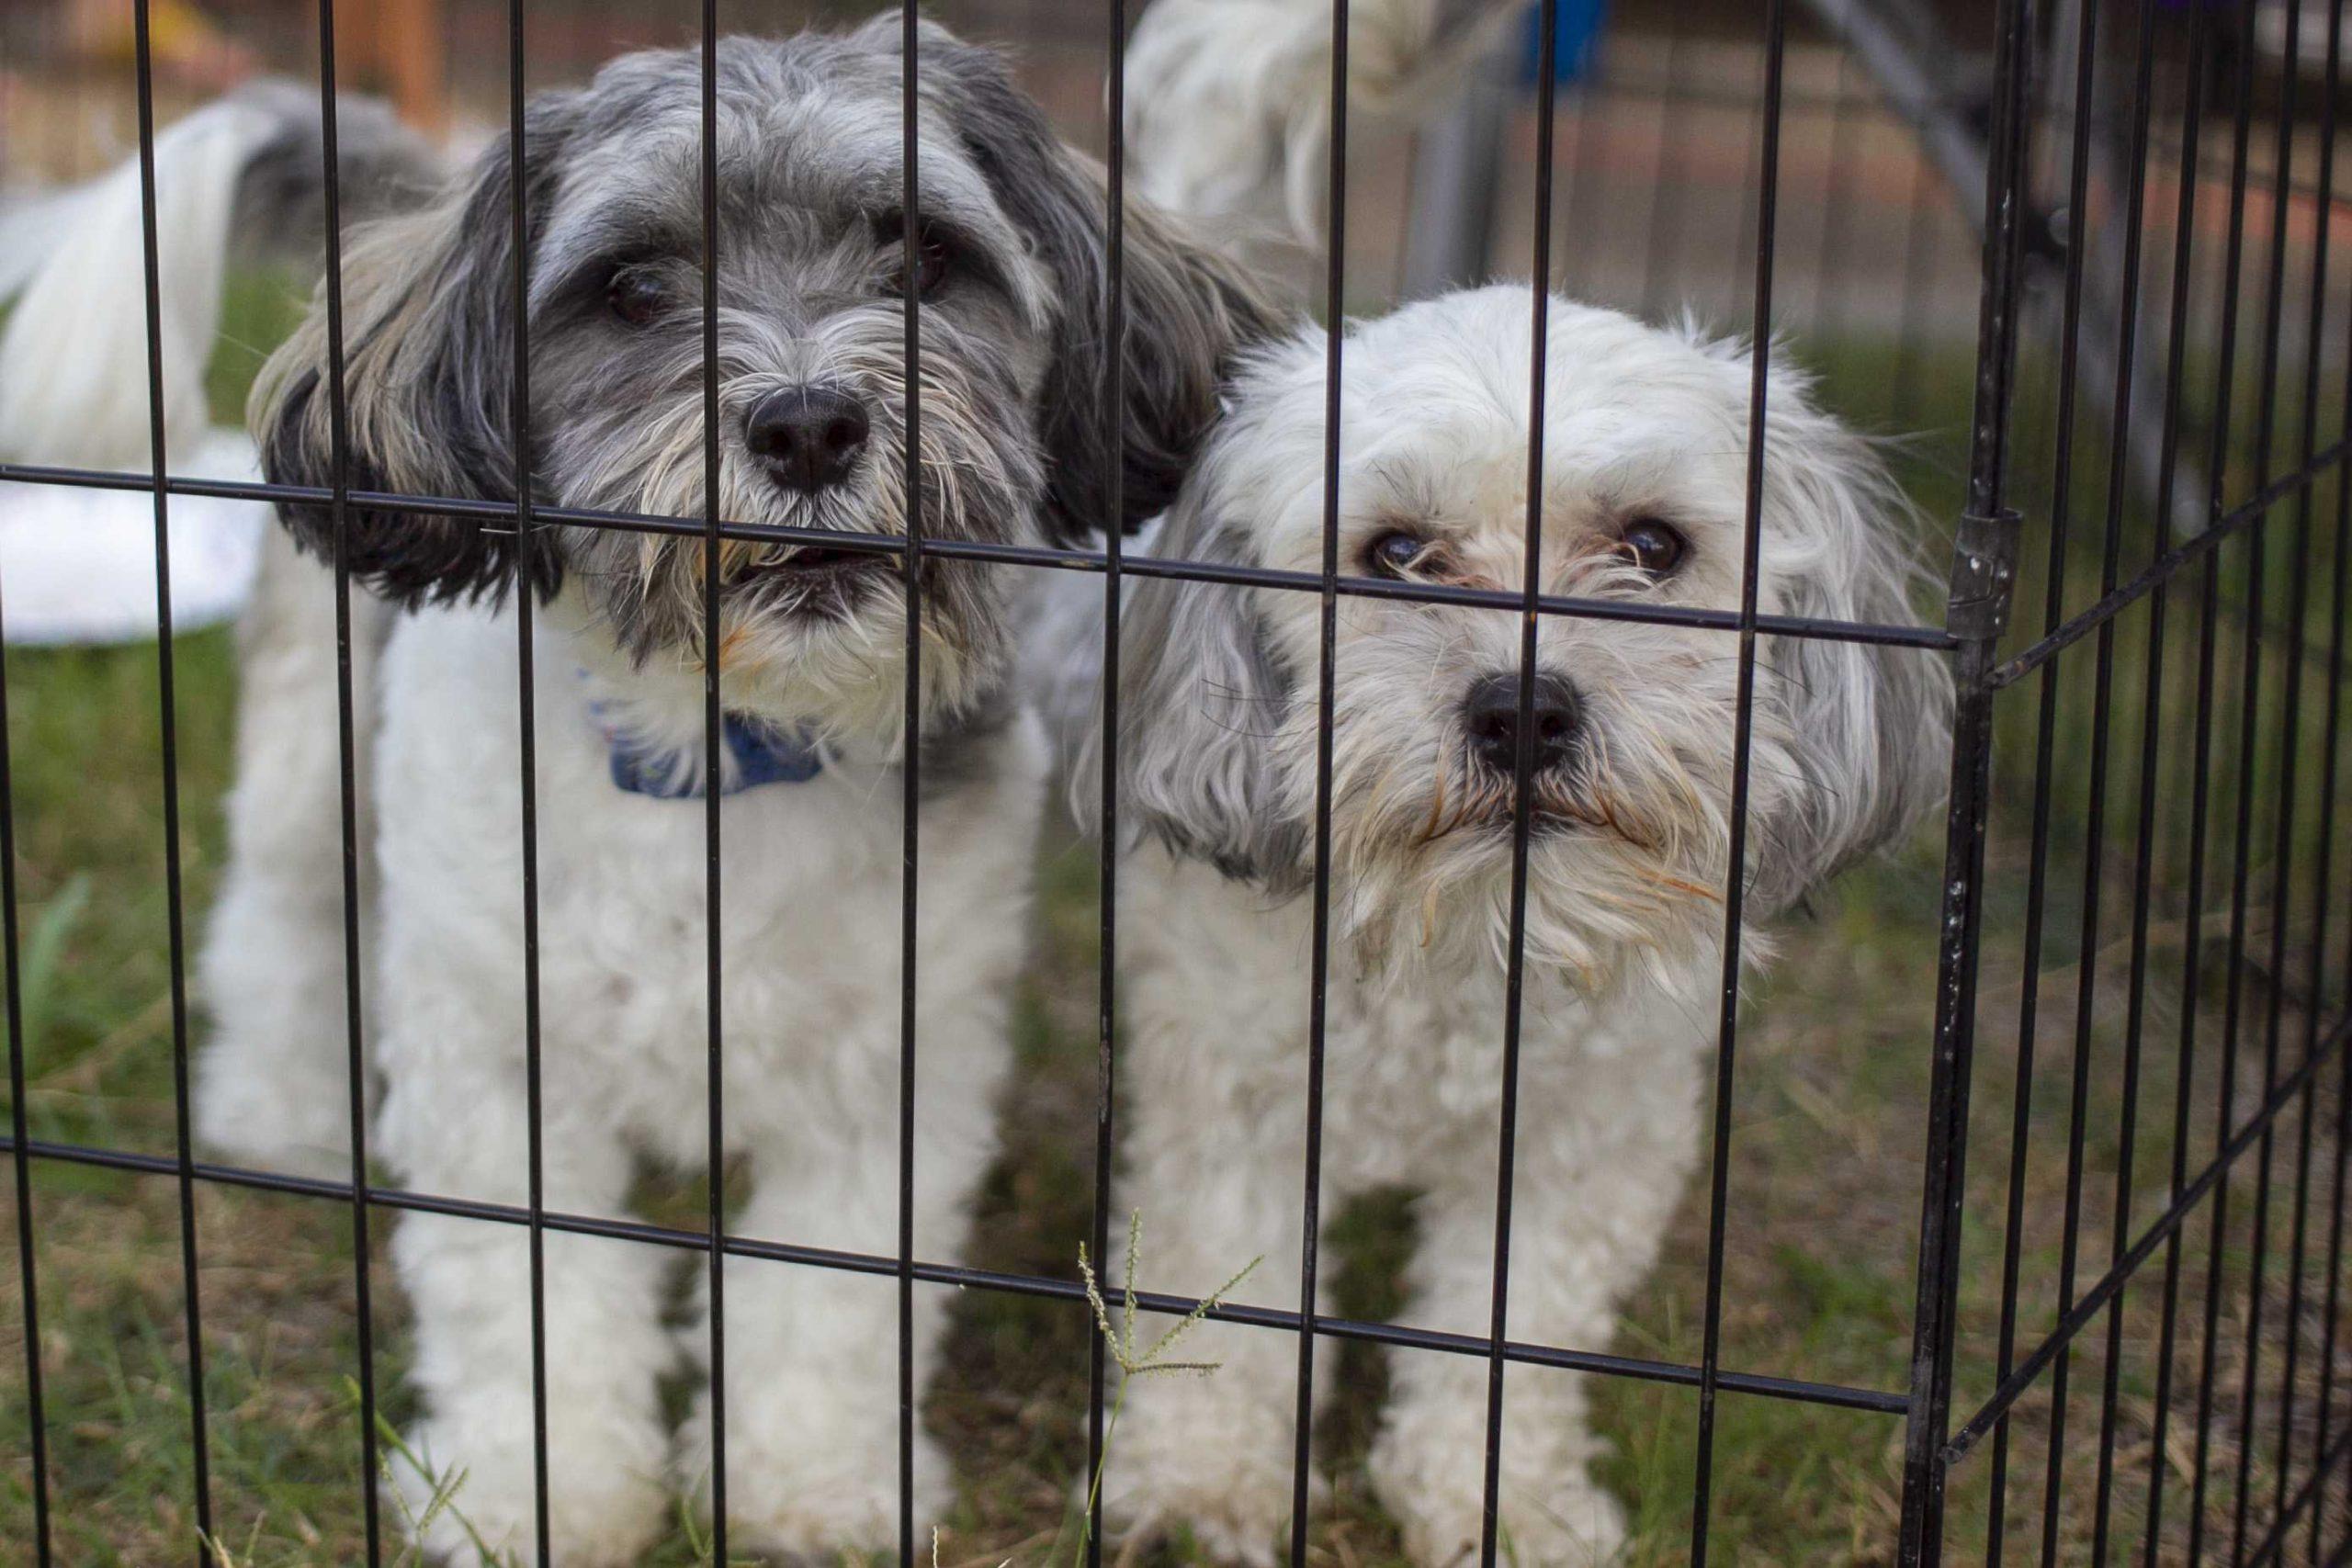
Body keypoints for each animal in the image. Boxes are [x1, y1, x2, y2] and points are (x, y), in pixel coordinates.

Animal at [195, 24, 1279, 1568]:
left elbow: (827, 1303)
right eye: (634, 288)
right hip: (310, 738)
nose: (812, 422)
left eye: (924, 257)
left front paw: (811, 1485)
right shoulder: (498, 1062)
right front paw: (535, 1492)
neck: (723, 752)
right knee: (278, 911)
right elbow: (524, 1299)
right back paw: (279, 1106)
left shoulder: (890, 1075)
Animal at [1063, 288, 1947, 1561]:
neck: (1468, 935)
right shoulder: (1236, 1112)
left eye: (1650, 547)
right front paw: (1202, 1486)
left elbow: (1514, 1334)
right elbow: (1227, 1297)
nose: (1523, 709)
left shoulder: (1579, 1145)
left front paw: (1497, 1503)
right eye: (1394, 555)